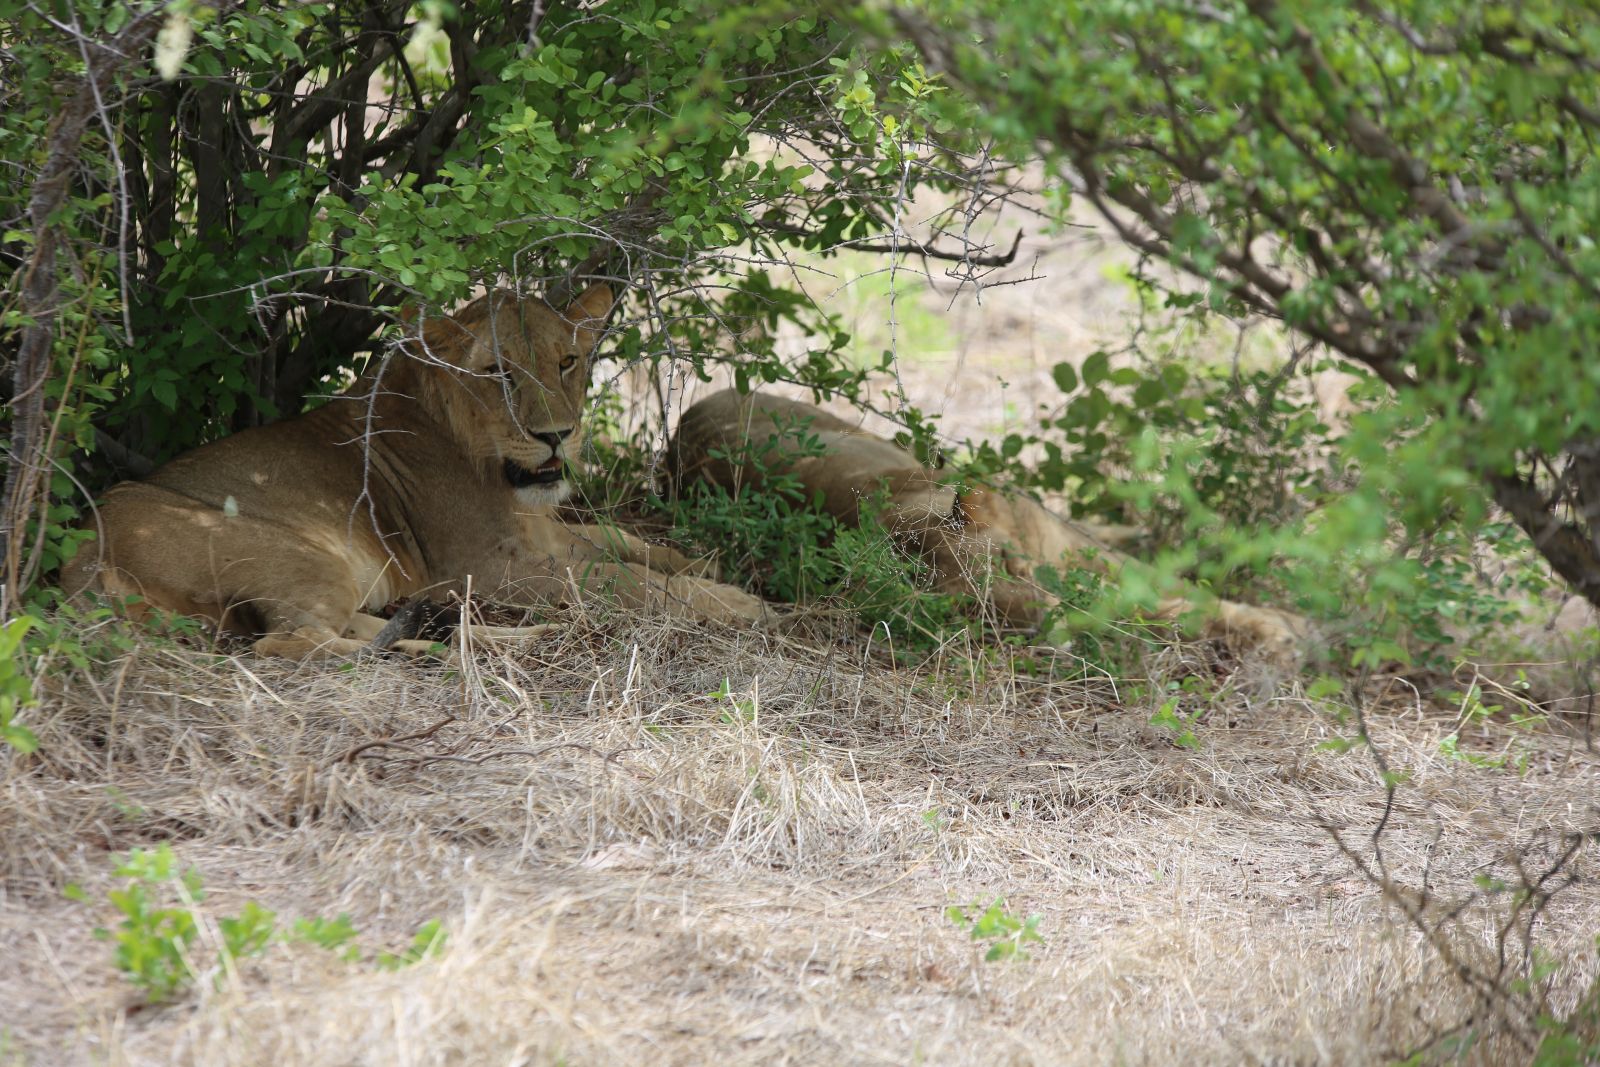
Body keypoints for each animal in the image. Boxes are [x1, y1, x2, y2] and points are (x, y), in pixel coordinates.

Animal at [63, 286, 766, 658]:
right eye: (497, 372)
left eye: (567, 361)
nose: (555, 436)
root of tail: (80, 557)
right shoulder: (489, 564)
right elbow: (623, 581)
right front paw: (741, 604)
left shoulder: (541, 533)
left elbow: (626, 544)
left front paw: (705, 563)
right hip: (298, 551)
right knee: (293, 643)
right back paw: (472, 644)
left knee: (346, 627)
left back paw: (474, 631)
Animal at [669, 389, 1307, 665]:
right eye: (980, 612)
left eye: (1006, 564)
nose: (1049, 621)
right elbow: (1162, 610)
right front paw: (1277, 632)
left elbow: (1178, 592)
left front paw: (1281, 625)